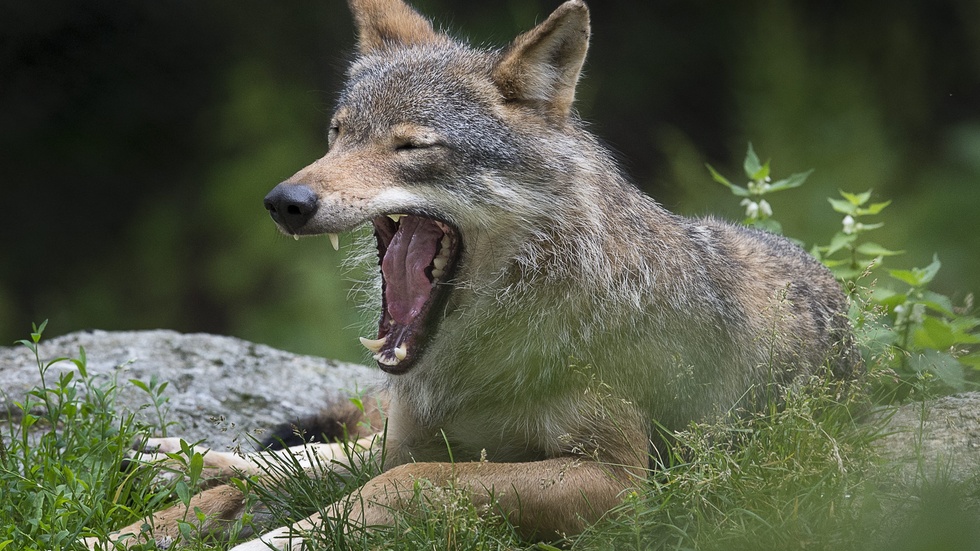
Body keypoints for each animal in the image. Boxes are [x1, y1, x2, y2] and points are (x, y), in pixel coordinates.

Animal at [90, 0, 856, 548]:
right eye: (337, 134)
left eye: (410, 146)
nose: (287, 202)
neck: (475, 362)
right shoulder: (406, 439)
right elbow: (284, 476)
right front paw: (123, 530)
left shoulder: (619, 481)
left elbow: (409, 484)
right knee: (299, 452)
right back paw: (168, 455)